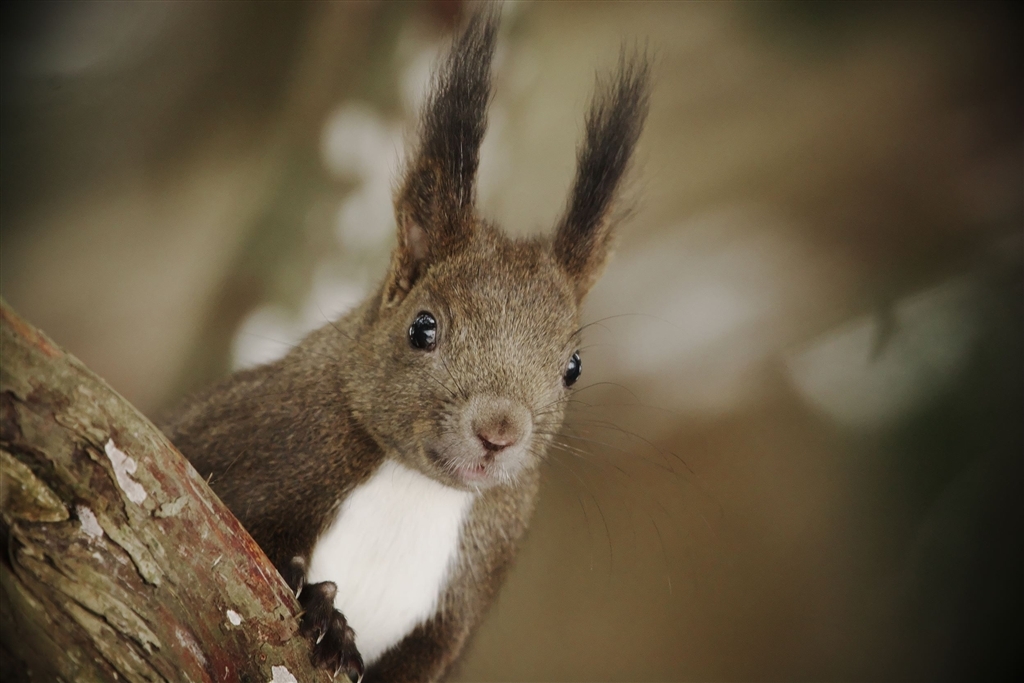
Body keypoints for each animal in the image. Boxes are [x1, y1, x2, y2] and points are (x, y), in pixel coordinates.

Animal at [163, 6, 651, 683]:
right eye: (423, 328)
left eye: (573, 367)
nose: (500, 432)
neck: (417, 489)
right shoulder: (250, 450)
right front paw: (326, 614)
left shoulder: (458, 608)